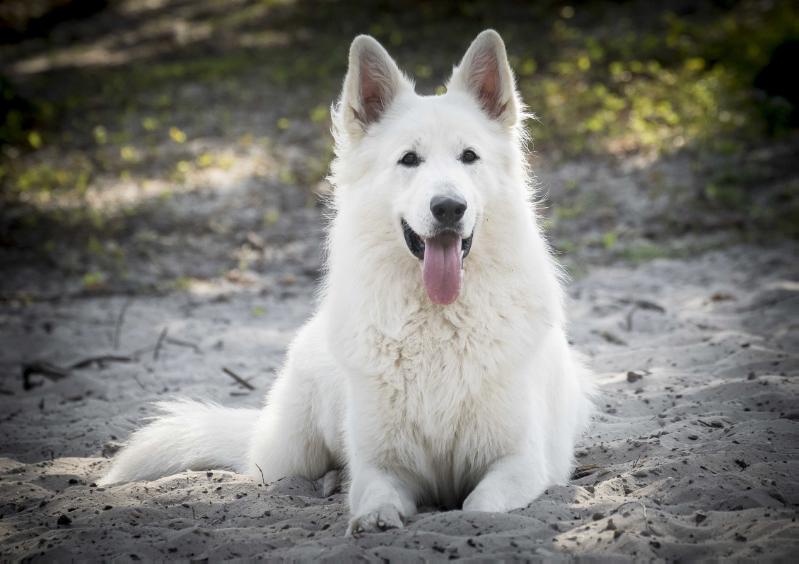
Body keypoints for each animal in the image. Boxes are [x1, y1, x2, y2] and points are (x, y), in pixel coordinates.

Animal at [101, 29, 592, 532]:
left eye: (469, 156)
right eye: (409, 159)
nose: (449, 208)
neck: (438, 319)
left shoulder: (520, 463)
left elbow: (480, 506)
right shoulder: (382, 465)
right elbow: (373, 492)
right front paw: (374, 519)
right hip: (291, 450)